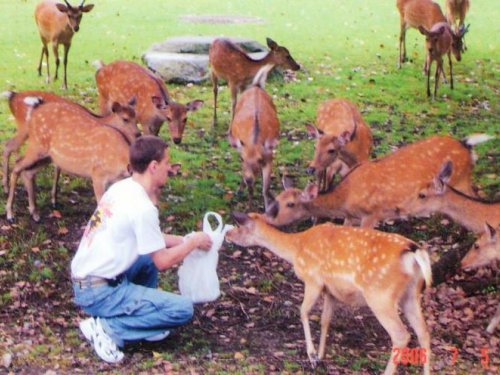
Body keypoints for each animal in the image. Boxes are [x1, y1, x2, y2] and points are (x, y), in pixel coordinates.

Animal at [5, 95, 141, 223]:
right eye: (125, 119)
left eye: (136, 117)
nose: (138, 134)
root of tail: (34, 111)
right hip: (36, 145)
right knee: (17, 164)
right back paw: (10, 213)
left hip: (48, 155)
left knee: (27, 171)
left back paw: (34, 213)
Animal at [229, 75, 280, 212]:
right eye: (241, 158)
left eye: (259, 159)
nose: (248, 179)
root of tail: (256, 86)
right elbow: (251, 188)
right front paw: (249, 209)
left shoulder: (269, 157)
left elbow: (265, 189)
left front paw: (267, 209)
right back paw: (240, 190)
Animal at [229, 213, 432, 374]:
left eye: (240, 226)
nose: (228, 236)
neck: (296, 249)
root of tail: (413, 252)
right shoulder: (331, 291)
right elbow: (325, 319)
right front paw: (320, 356)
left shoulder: (313, 279)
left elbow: (303, 311)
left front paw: (311, 355)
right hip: (411, 294)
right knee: (423, 332)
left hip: (380, 295)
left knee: (401, 335)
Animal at [264, 136, 490, 229]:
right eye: (276, 199)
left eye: (290, 204)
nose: (268, 217)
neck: (346, 197)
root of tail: (467, 146)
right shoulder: (351, 216)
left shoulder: (373, 213)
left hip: (461, 179)